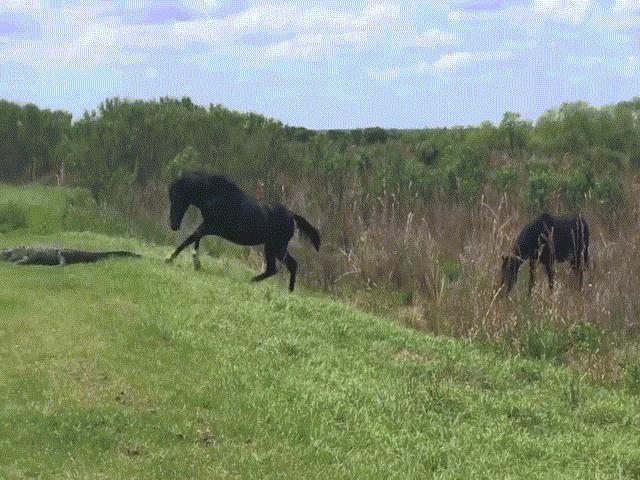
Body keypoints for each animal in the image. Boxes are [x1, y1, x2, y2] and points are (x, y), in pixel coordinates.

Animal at [165, 172, 320, 292]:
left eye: (178, 198)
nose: (174, 225)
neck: (216, 196)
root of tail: (291, 215)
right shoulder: (208, 226)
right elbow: (194, 238)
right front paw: (190, 262)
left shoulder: (211, 226)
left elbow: (193, 237)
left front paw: (179, 260)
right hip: (272, 247)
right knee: (278, 268)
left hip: (277, 247)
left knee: (285, 266)